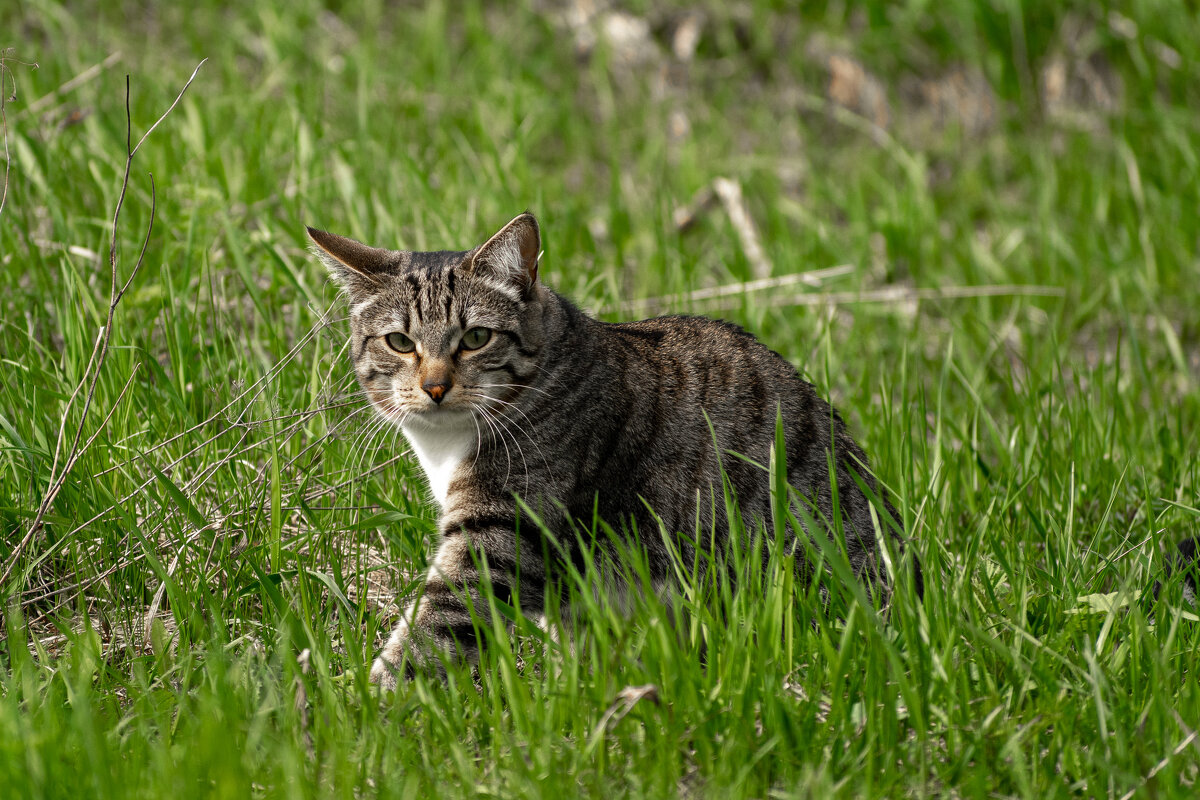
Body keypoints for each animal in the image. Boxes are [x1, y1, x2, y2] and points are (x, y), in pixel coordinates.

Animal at [309, 211, 916, 690]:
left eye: (477, 338)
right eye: (399, 342)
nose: (435, 386)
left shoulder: (501, 533)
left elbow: (430, 631)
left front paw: (359, 705)